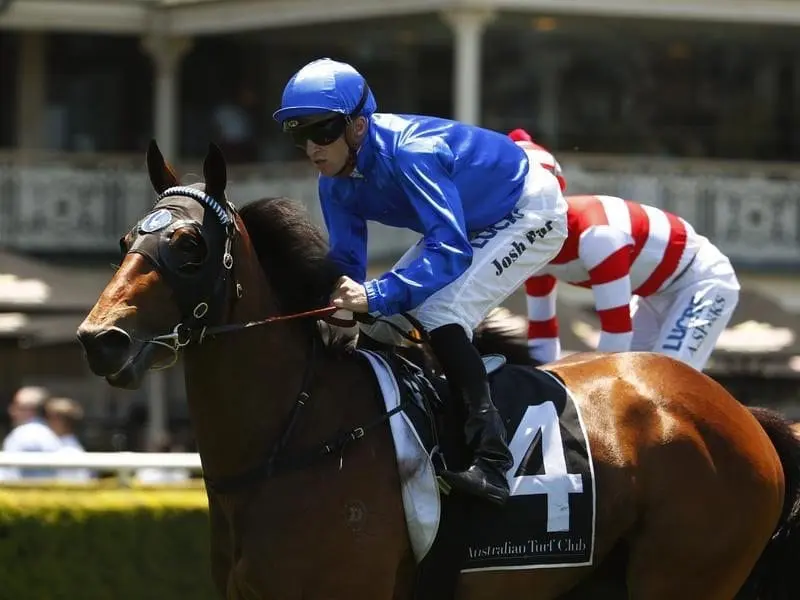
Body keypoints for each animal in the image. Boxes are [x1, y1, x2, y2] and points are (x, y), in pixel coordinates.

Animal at [76, 142, 800, 600]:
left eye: (188, 245)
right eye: (126, 241)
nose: (100, 340)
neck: (300, 435)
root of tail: (741, 413)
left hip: (685, 575)